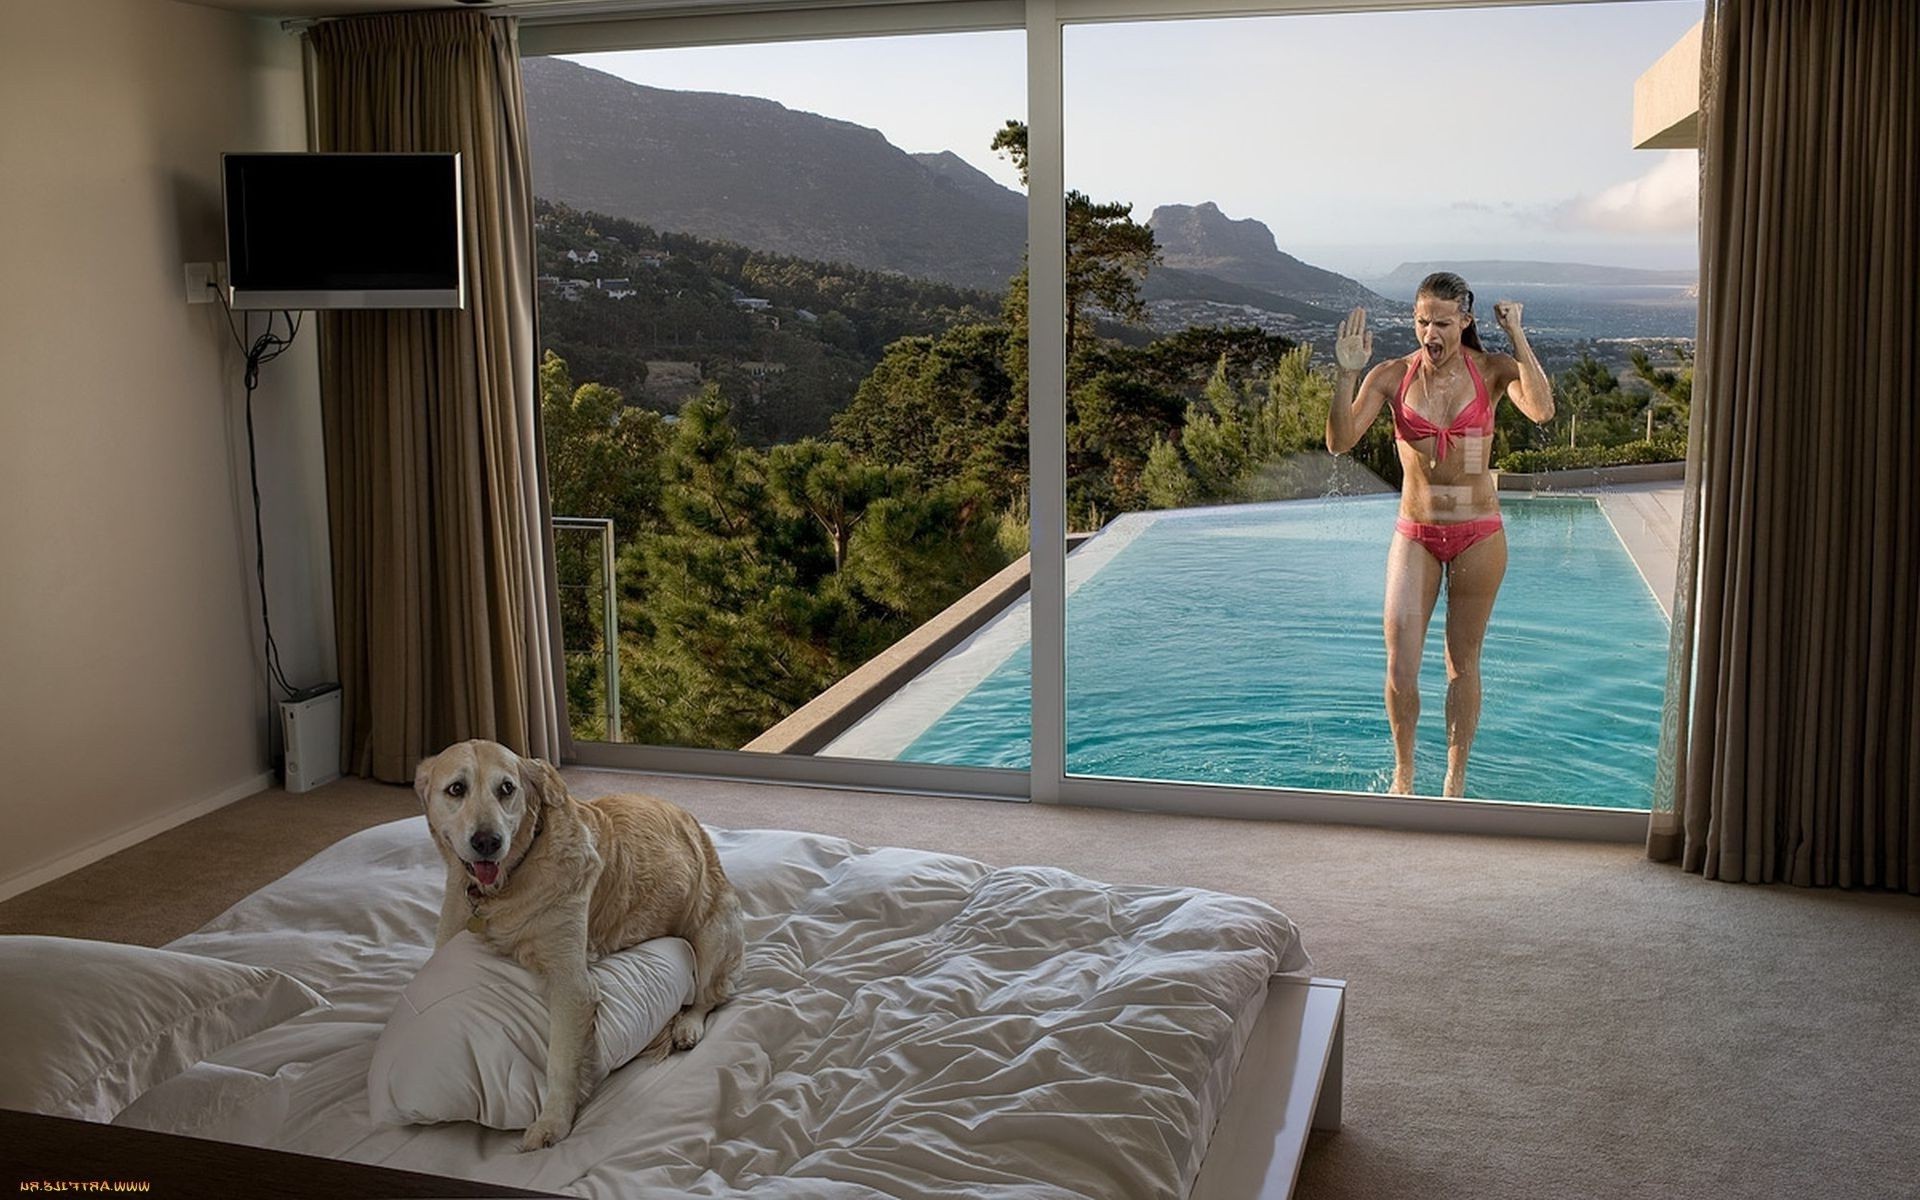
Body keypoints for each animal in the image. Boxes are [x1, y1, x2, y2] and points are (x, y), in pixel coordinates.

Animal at [412, 733, 741, 1144]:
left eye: (507, 789)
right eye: (456, 789)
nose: (488, 842)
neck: (505, 886)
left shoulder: (572, 985)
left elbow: (561, 1061)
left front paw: (553, 1121)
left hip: (713, 931)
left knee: (708, 996)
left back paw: (687, 1026)